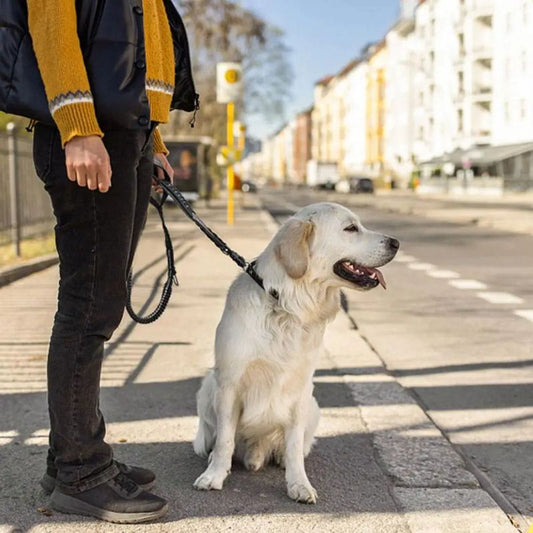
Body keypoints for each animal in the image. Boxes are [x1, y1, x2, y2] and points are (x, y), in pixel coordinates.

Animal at [193, 202, 396, 500]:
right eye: (350, 228)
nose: (396, 242)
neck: (287, 305)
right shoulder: (230, 383)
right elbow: (225, 440)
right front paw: (214, 475)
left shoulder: (300, 390)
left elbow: (293, 445)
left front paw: (299, 483)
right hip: (209, 385)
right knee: (212, 435)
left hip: (313, 404)